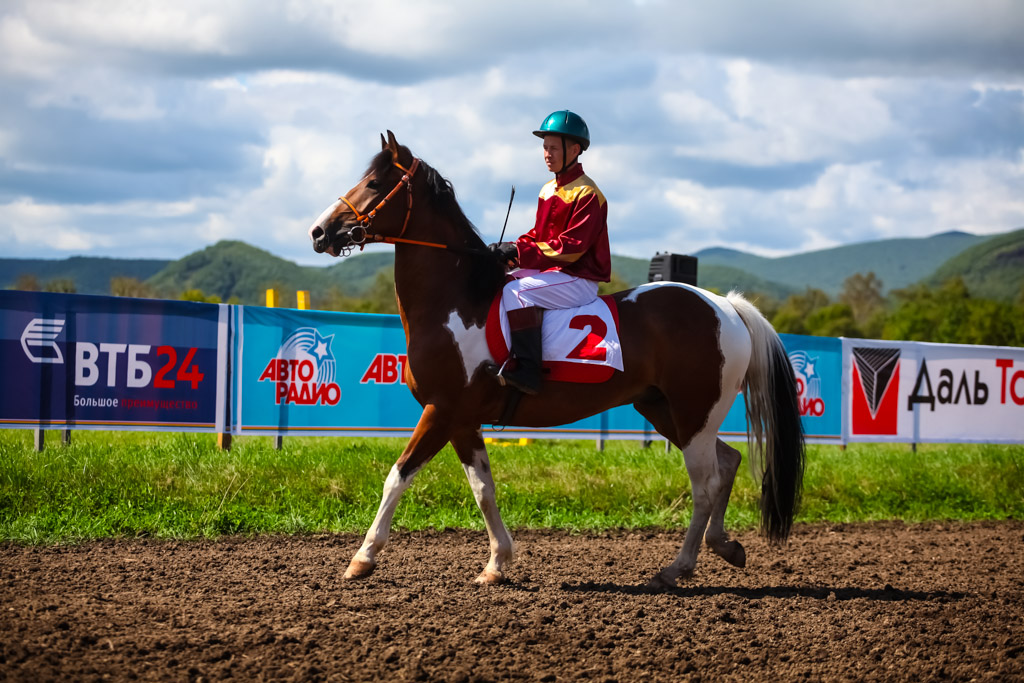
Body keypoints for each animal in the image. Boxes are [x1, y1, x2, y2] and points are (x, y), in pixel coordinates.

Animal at [307, 132, 802, 589]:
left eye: (373, 183)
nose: (318, 232)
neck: (458, 303)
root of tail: (725, 306)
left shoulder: (441, 410)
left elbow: (397, 476)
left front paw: (363, 558)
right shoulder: (463, 420)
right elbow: (483, 489)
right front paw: (496, 563)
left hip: (694, 413)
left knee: (706, 484)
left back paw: (676, 568)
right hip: (666, 411)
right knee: (729, 461)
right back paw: (724, 546)